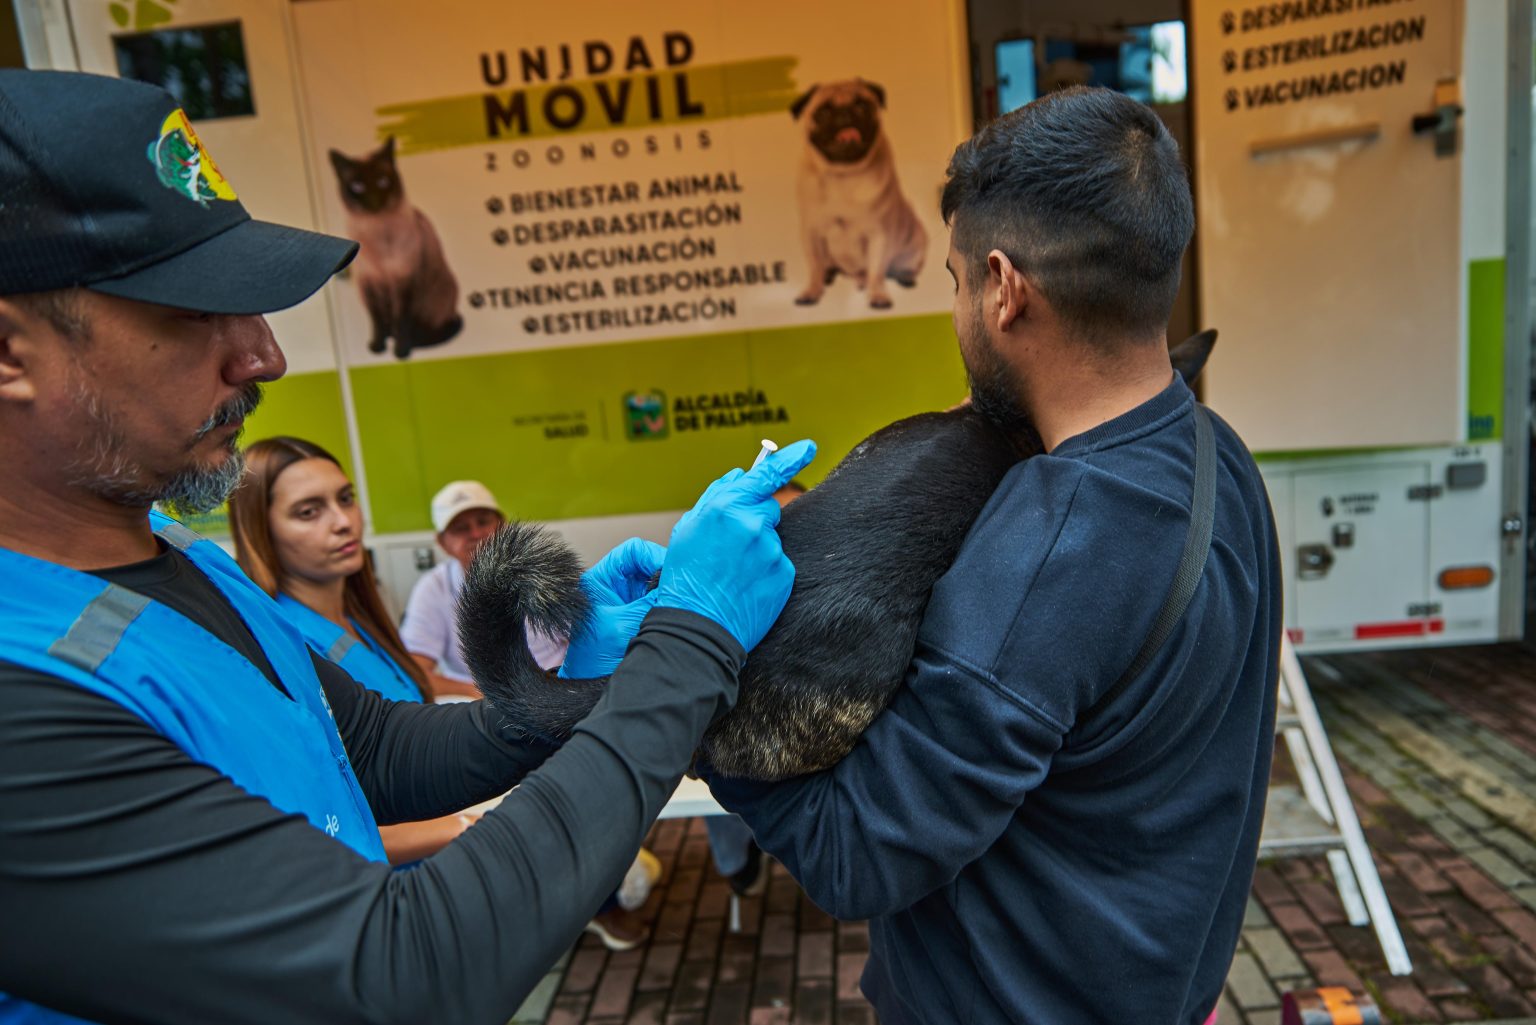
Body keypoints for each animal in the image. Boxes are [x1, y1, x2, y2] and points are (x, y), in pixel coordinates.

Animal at [329, 137, 463, 360]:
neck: (378, 234)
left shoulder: (404, 281)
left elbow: (402, 320)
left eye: (382, 181)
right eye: (357, 186)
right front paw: (377, 346)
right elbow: (377, 320)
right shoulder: (369, 283)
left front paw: (401, 352)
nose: (374, 202)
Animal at [789, 79, 928, 310]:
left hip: (916, 241)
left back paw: (903, 276)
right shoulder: (811, 233)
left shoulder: (879, 235)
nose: (845, 113)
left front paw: (878, 295)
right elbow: (815, 266)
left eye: (862, 105)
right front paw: (811, 291)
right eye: (823, 112)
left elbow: (876, 270)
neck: (843, 176)